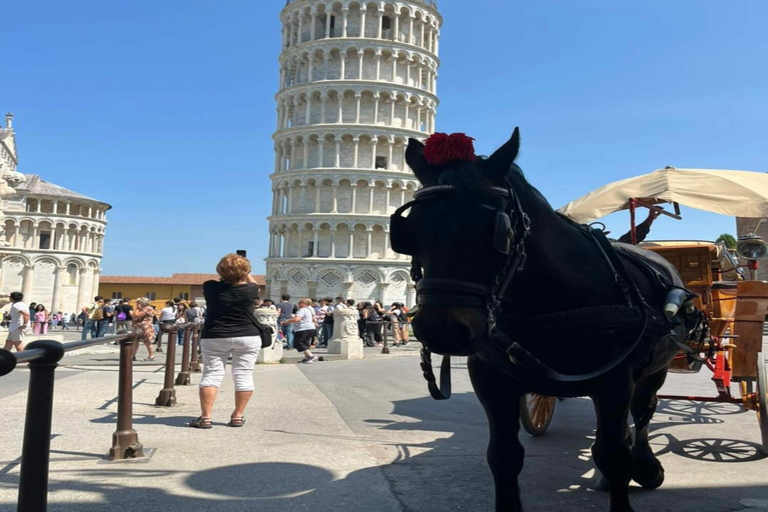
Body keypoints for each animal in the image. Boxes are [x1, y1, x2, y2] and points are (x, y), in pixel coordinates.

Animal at [390, 131, 696, 512]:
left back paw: (645, 466)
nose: (441, 330)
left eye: (497, 231)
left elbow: (612, 454)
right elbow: (503, 456)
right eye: (410, 230)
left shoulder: (616, 381)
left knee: (643, 412)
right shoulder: (490, 377)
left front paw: (626, 473)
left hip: (657, 368)